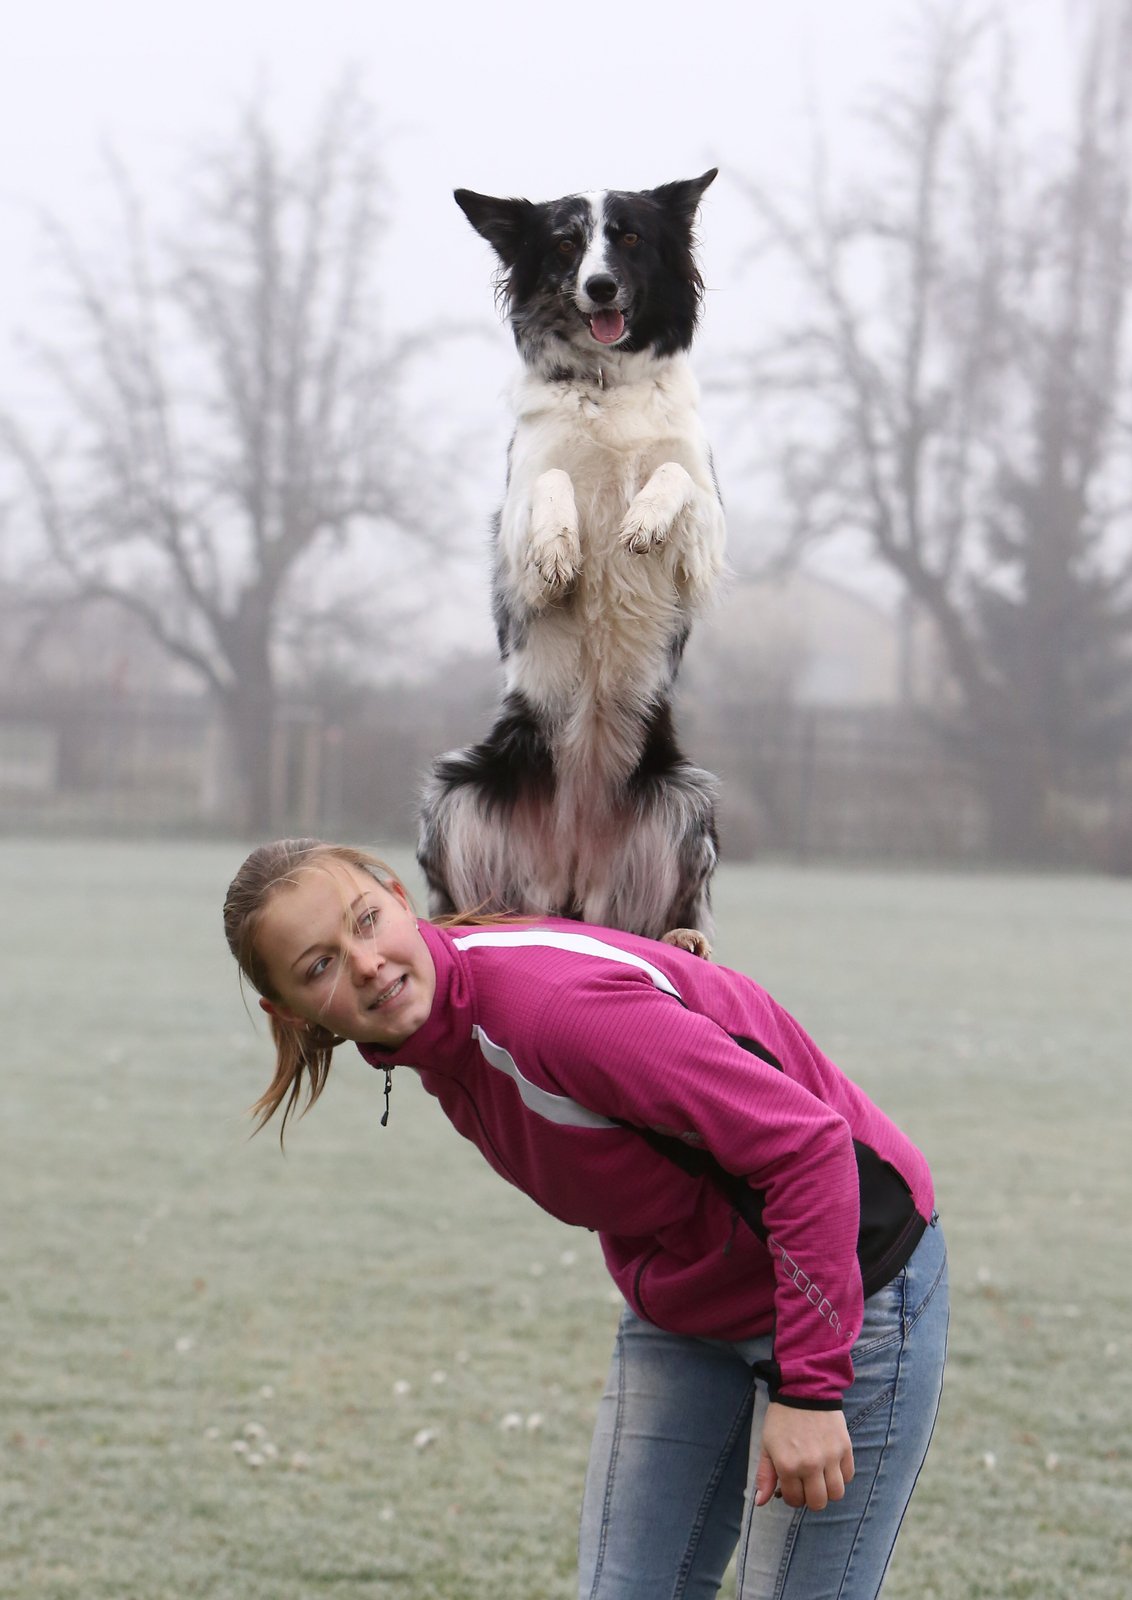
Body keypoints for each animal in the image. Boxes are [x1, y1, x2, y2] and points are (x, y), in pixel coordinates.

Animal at [418, 170, 725, 953]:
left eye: (630, 237)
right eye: (564, 244)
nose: (600, 286)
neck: (607, 384)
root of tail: (571, 885)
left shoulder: (707, 533)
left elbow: (670, 480)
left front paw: (643, 519)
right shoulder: (514, 520)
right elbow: (549, 486)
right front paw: (561, 549)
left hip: (686, 801)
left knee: (665, 917)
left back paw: (684, 939)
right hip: (457, 792)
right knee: (456, 898)